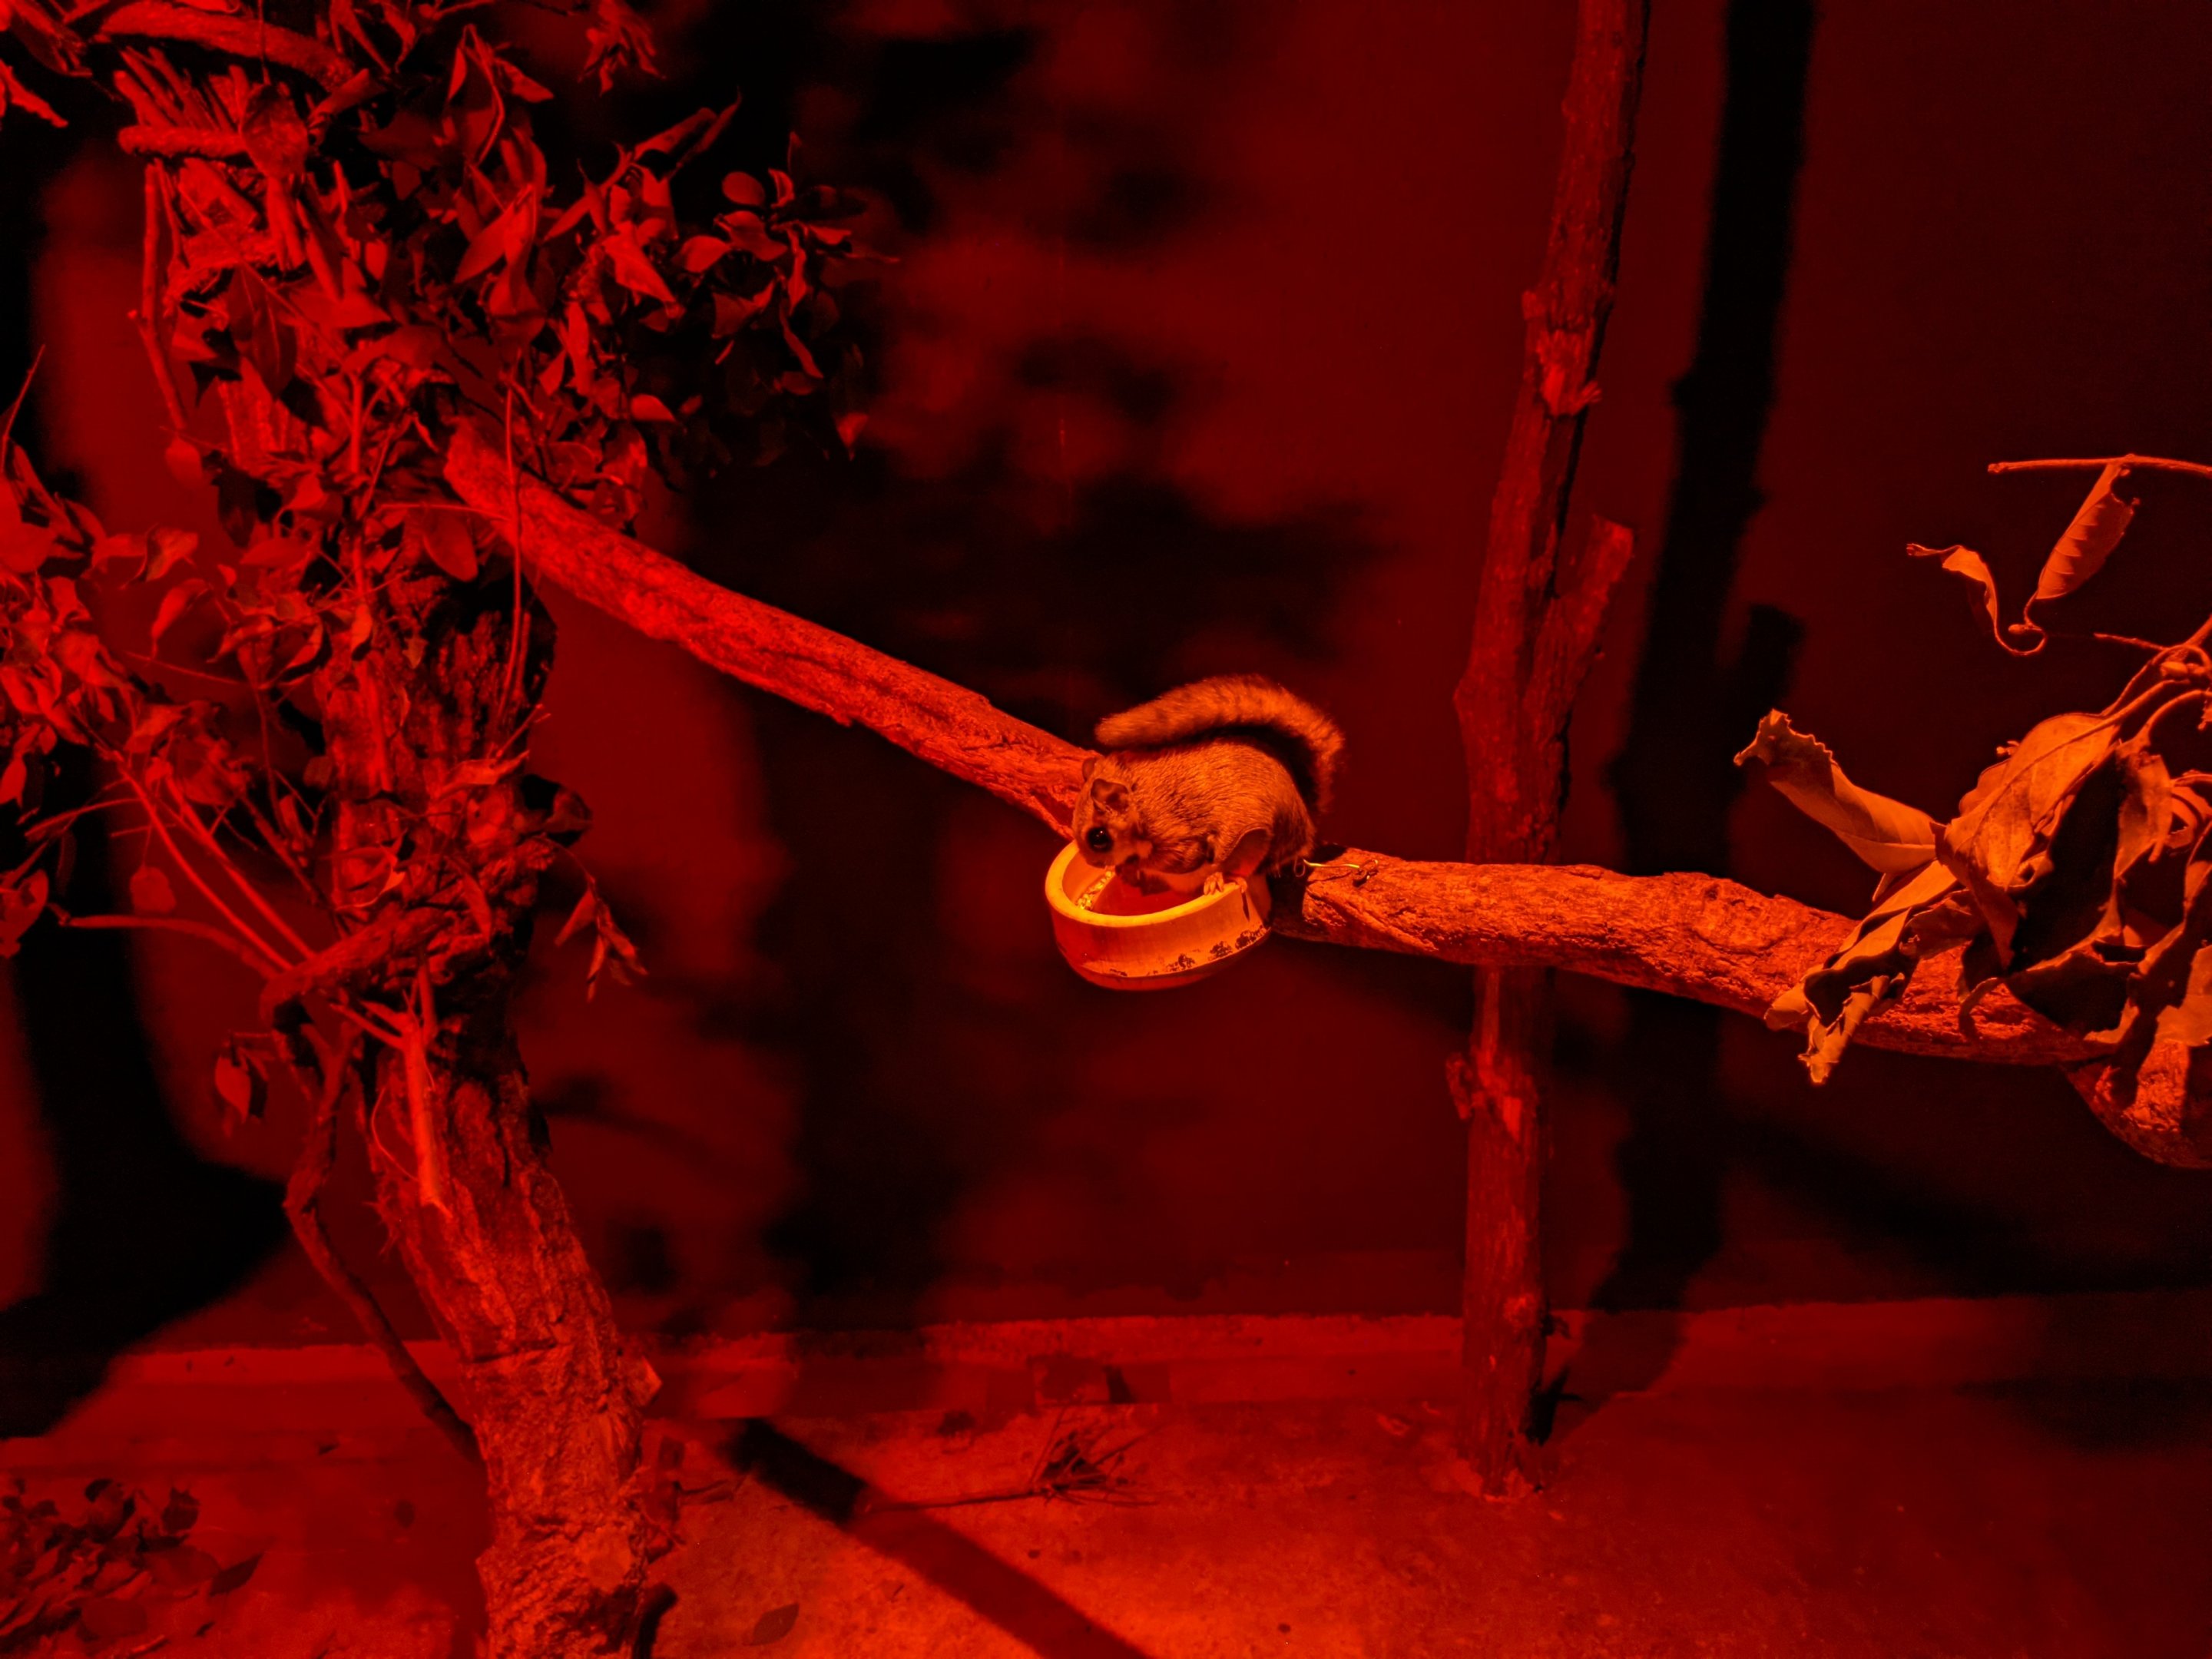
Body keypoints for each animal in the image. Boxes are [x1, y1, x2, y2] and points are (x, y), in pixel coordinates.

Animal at [1072, 675, 1344, 895]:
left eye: (1098, 837)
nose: (1092, 863)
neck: (1139, 800)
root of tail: (1306, 820)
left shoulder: (1174, 834)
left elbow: (1182, 859)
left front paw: (1133, 866)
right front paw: (1125, 872)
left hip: (1257, 843)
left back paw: (1220, 877)